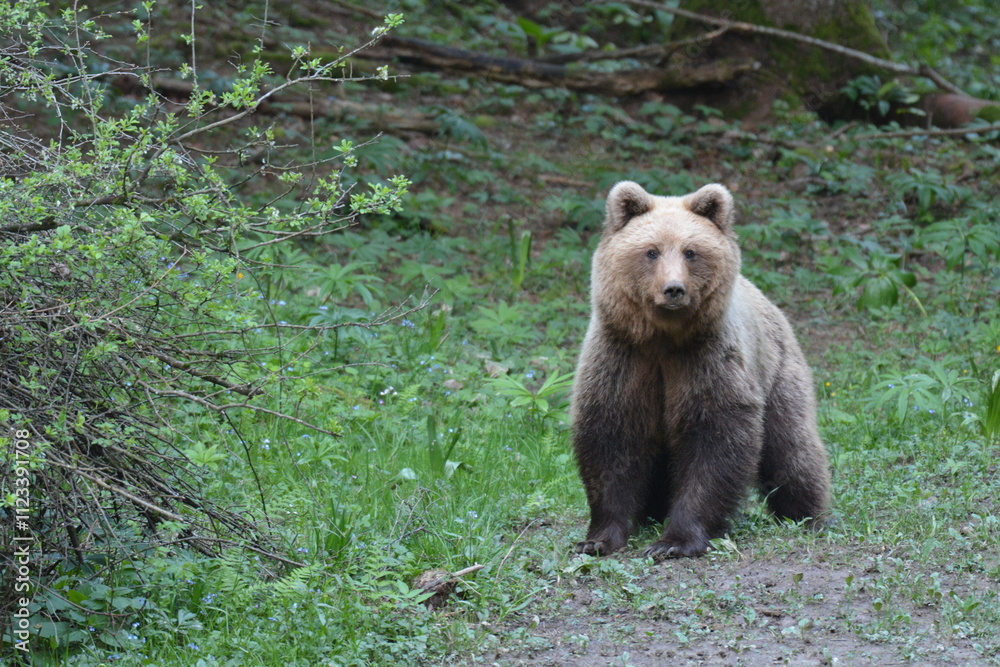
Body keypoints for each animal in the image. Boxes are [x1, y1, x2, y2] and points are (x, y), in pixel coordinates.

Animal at [571, 181, 830, 559]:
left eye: (690, 252)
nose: (673, 289)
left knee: (792, 449)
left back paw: (807, 514)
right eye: (651, 252)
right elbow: (611, 440)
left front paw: (673, 542)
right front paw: (598, 539)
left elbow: (714, 442)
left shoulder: (706, 361)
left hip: (778, 373)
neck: (662, 340)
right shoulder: (623, 359)